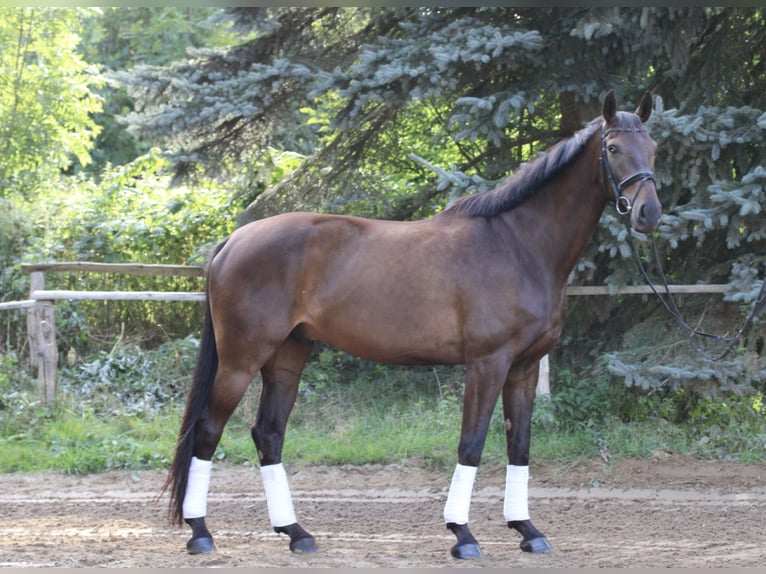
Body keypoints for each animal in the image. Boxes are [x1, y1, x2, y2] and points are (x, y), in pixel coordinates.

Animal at [164, 91, 660, 564]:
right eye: (613, 148)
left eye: (653, 147)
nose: (648, 214)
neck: (518, 244)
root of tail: (234, 240)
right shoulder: (487, 363)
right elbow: (471, 444)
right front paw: (462, 536)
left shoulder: (525, 367)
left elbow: (519, 446)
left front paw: (528, 531)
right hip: (241, 359)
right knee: (207, 431)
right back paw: (201, 534)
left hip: (288, 354)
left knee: (268, 434)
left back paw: (297, 534)